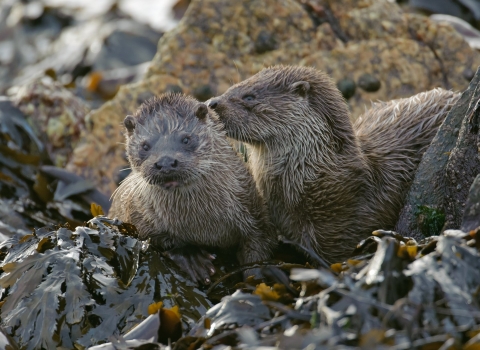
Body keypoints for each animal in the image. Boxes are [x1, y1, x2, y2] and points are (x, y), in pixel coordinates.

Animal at [109, 93, 274, 284]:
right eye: (145, 146)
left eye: (186, 139)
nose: (165, 162)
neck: (202, 224)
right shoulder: (134, 214)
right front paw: (191, 257)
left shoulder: (253, 209)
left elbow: (259, 244)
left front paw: (257, 276)